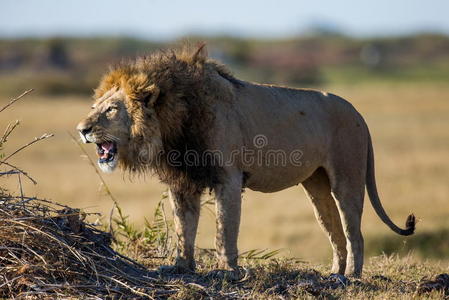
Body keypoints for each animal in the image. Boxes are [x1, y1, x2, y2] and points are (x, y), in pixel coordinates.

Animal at [76, 45, 412, 278]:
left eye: (111, 110)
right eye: (95, 107)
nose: (82, 129)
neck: (172, 124)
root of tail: (358, 112)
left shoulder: (228, 177)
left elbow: (225, 228)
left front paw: (227, 271)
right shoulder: (182, 182)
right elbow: (184, 226)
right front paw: (180, 267)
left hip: (347, 177)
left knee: (354, 230)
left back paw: (352, 275)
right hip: (316, 185)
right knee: (334, 230)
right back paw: (335, 275)